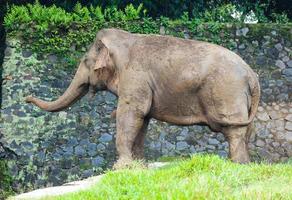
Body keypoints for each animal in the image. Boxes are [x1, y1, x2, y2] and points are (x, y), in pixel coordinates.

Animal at [26, 28, 262, 169]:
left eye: (85, 61)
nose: (26, 98)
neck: (125, 39)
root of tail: (252, 74)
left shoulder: (135, 77)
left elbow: (131, 112)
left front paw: (120, 168)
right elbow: (143, 119)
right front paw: (139, 166)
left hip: (226, 92)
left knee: (235, 131)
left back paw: (236, 165)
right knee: (246, 131)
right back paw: (246, 165)